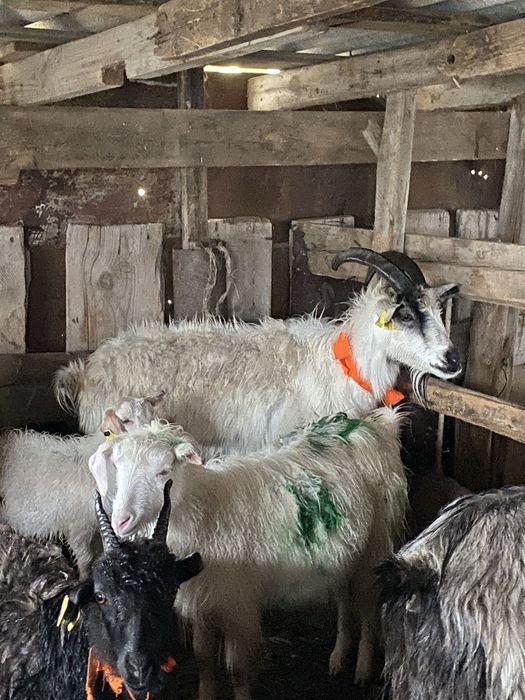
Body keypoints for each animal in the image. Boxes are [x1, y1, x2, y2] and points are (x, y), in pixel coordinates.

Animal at [0, 393, 164, 577]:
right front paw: (84, 578)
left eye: (152, 416)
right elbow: (85, 559)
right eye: (125, 420)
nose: (151, 439)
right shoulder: (77, 525)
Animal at [89, 409, 408, 699]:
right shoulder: (203, 598)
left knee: (367, 604)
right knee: (343, 596)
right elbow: (203, 660)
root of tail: (372, 425)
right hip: (345, 551)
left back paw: (363, 667)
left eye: (164, 471)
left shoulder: (237, 603)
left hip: (375, 542)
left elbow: (237, 669)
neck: (203, 510)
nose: (121, 521)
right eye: (117, 466)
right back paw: (338, 656)